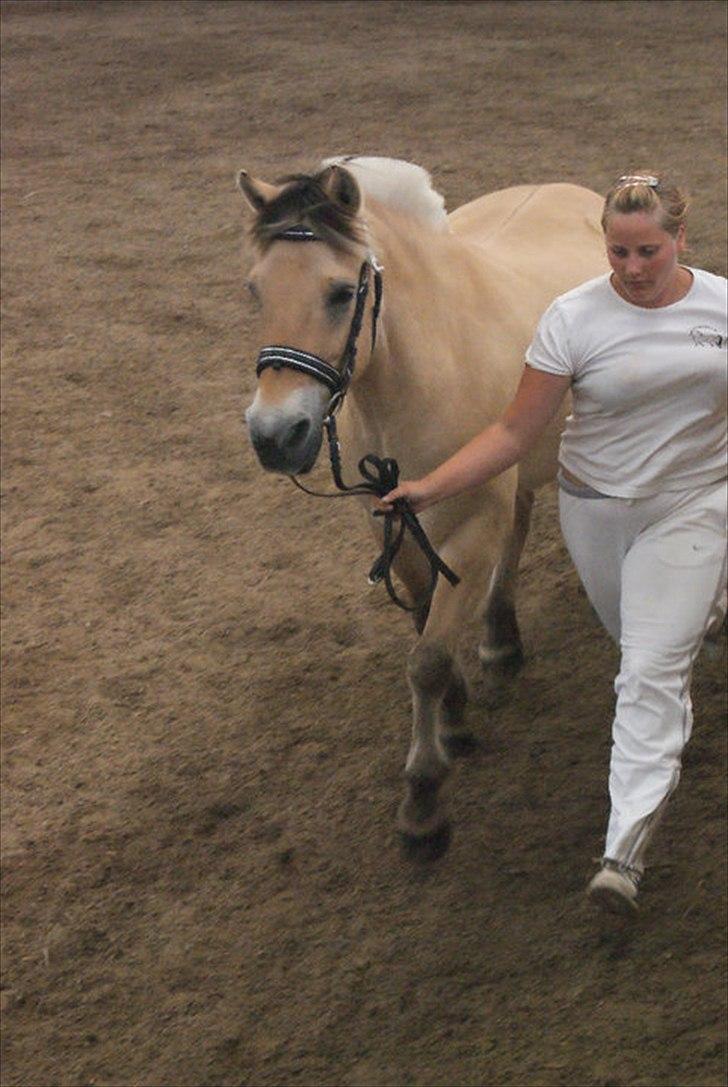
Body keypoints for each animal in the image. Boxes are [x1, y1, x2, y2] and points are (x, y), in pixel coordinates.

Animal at [236, 158, 608, 856]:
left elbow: (428, 660)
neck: (424, 373)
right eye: (255, 291)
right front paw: (456, 719)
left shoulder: (471, 526)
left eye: (340, 293)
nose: (274, 436)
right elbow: (423, 618)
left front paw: (424, 798)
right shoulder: (395, 523)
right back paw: (499, 640)